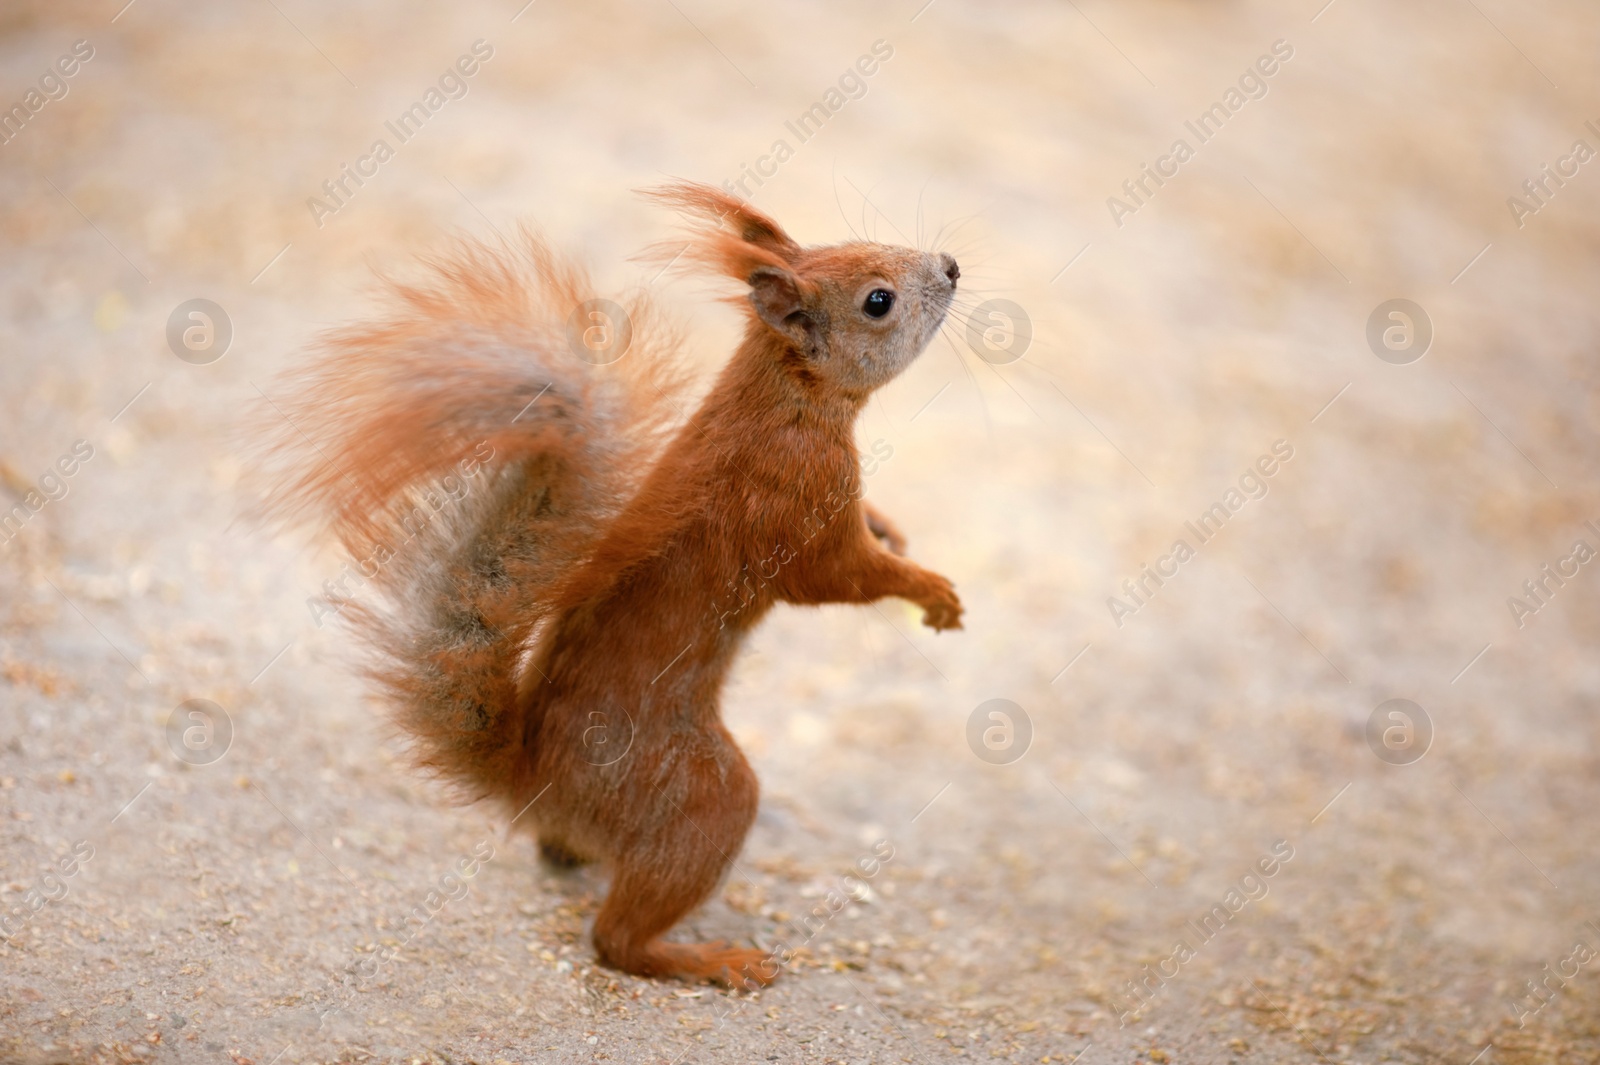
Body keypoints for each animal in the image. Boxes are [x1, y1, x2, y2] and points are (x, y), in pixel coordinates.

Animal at [259, 182, 960, 985]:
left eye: (857, 242)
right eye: (878, 300)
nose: (951, 266)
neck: (784, 396)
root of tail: (535, 783)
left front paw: (890, 526)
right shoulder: (795, 499)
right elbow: (839, 577)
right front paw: (932, 590)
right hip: (696, 792)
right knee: (616, 939)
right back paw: (711, 959)